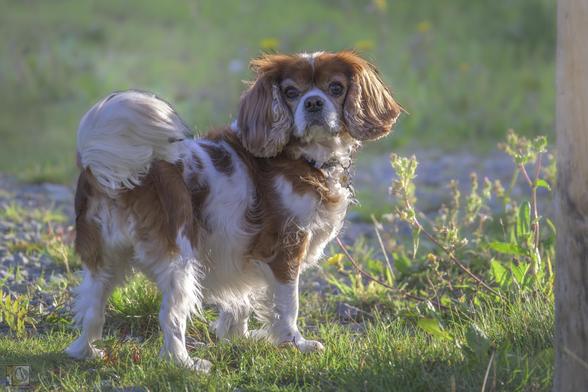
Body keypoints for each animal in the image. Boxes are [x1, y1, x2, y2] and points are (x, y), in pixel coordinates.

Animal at [66, 50, 402, 372]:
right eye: (291, 92)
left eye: (336, 88)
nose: (314, 102)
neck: (304, 157)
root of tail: (111, 169)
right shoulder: (285, 250)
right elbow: (287, 305)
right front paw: (294, 344)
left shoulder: (240, 253)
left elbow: (240, 301)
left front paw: (240, 337)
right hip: (179, 261)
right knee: (170, 318)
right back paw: (185, 364)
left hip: (105, 259)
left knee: (92, 308)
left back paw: (86, 352)